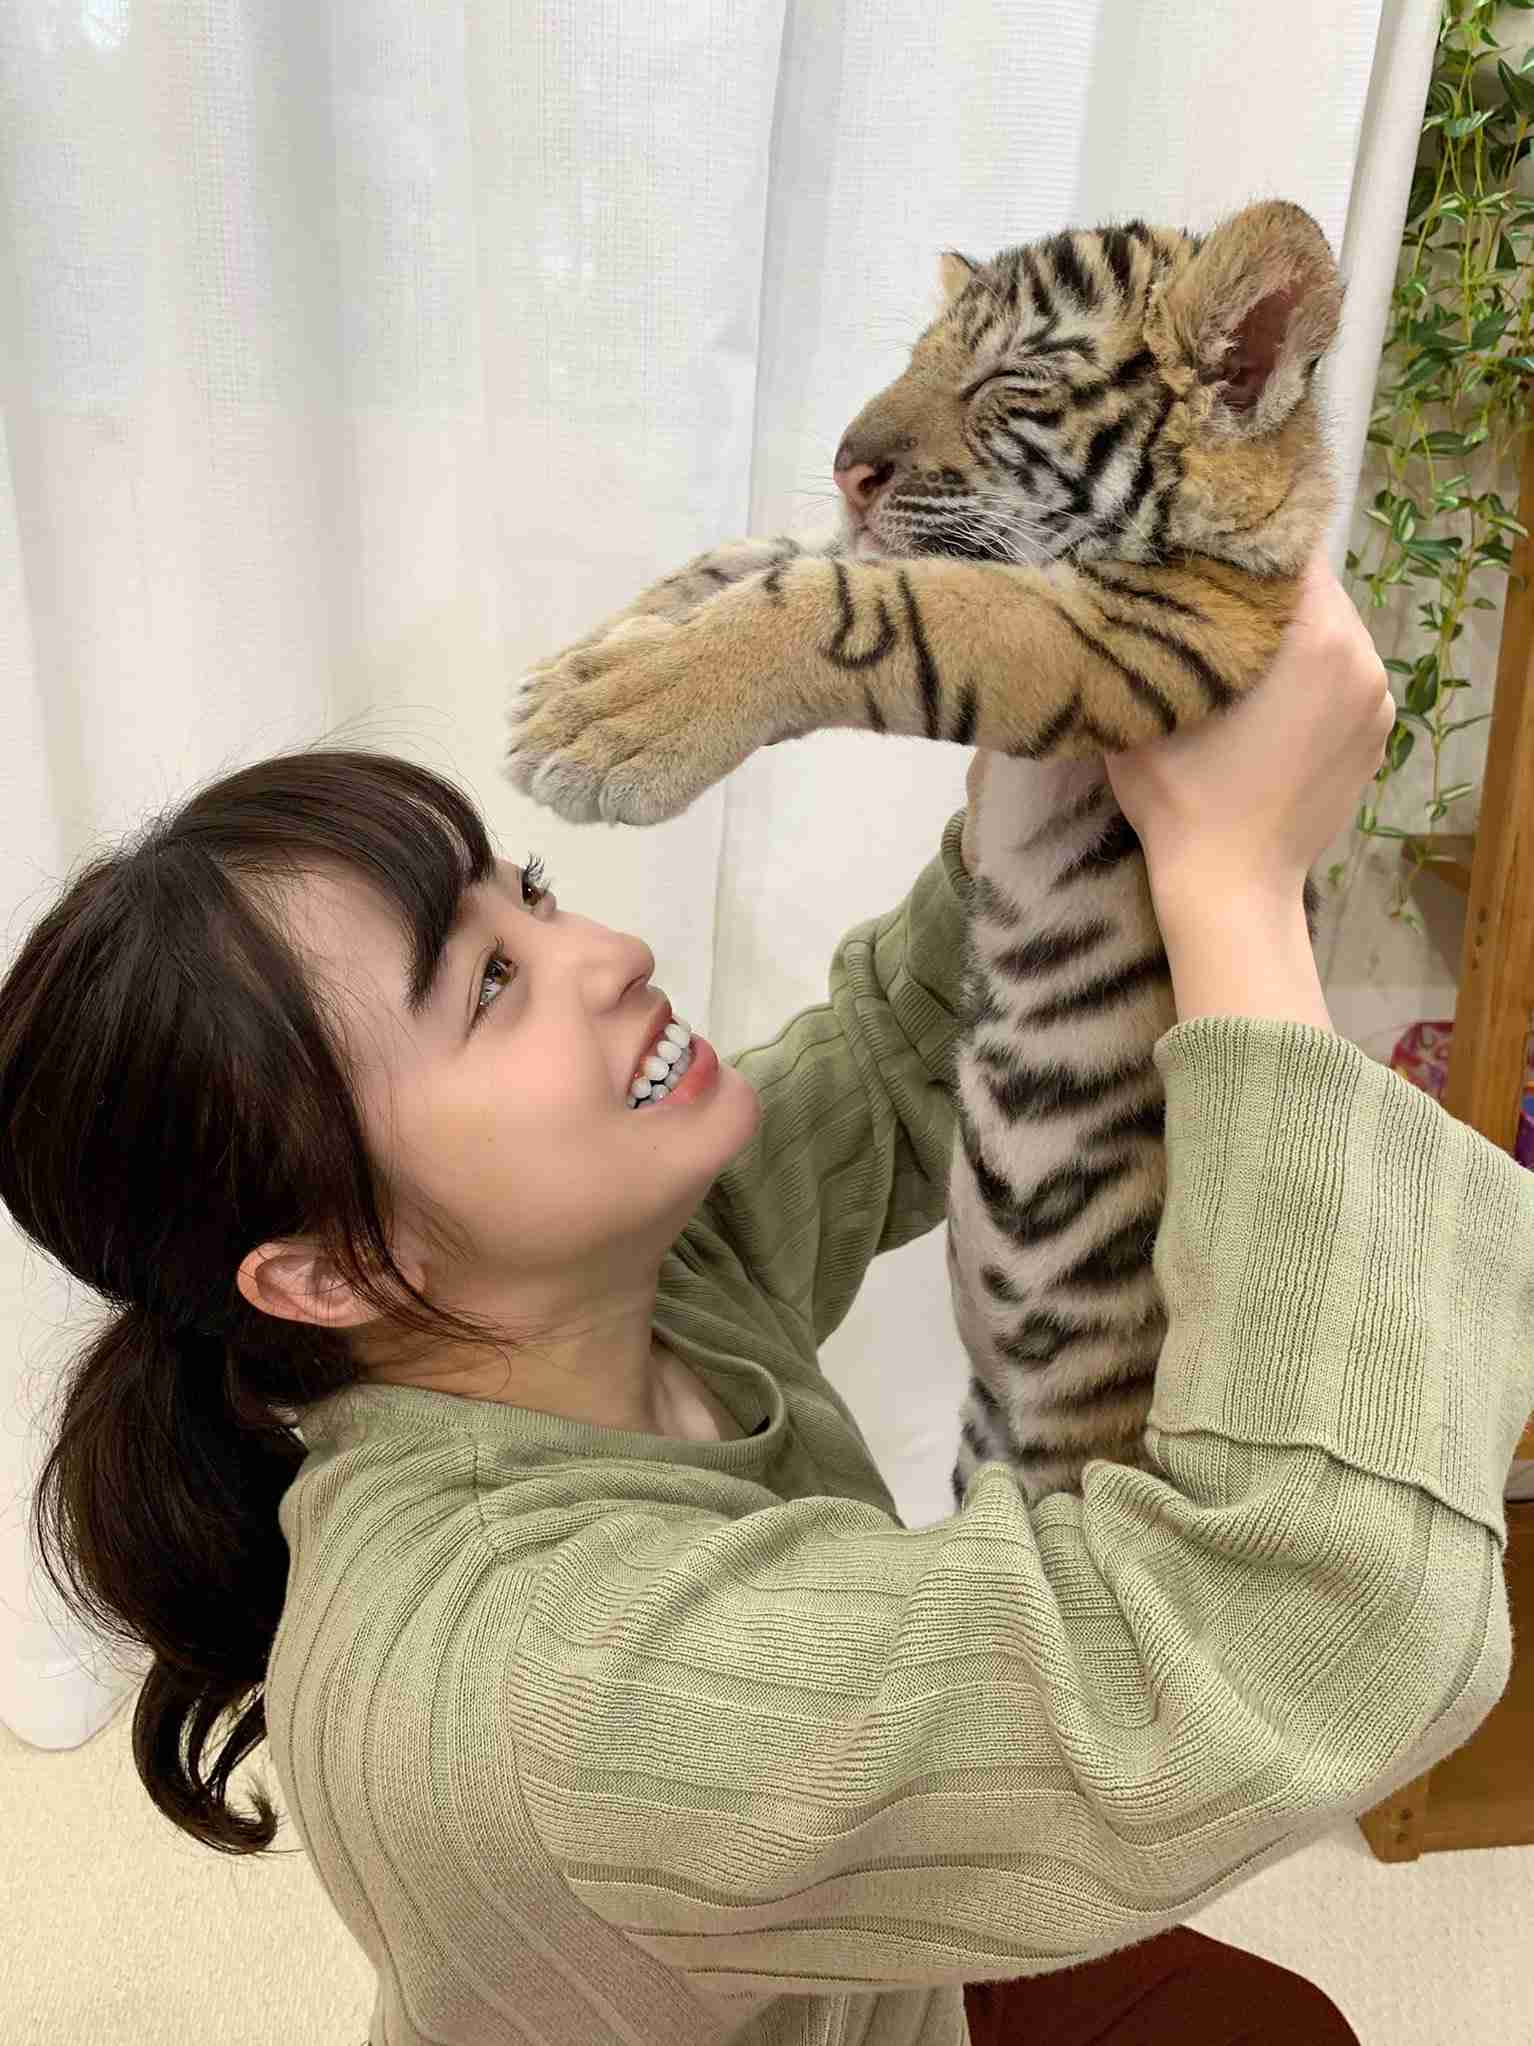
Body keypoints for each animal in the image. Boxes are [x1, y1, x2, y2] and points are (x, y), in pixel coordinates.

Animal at [505, 197, 1343, 1504]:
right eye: (917, 355)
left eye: (1006, 380)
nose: (851, 463)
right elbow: (766, 552)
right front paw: (597, 655)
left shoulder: (1141, 634)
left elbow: (861, 600)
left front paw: (606, 718)